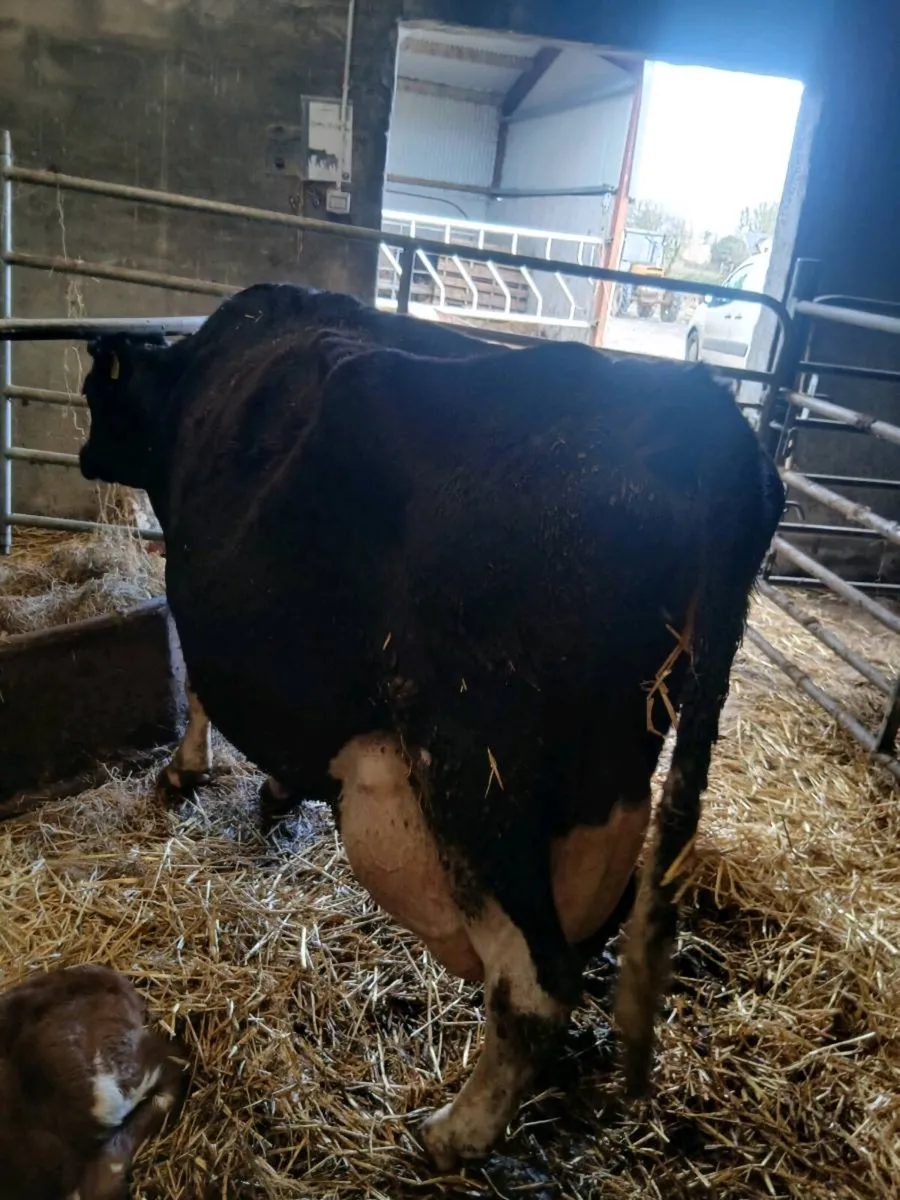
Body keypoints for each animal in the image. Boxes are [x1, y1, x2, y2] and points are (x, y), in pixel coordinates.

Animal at [78, 283, 783, 1169]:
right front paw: (272, 788)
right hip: (607, 780)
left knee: (536, 982)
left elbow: (197, 678)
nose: (82, 456)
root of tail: (694, 412)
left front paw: (189, 770)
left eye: (93, 396)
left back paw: (455, 1130)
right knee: (594, 932)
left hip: (477, 773)